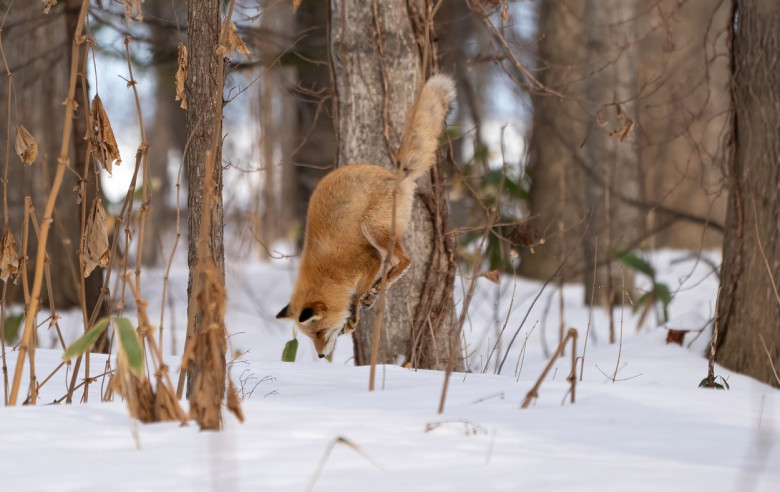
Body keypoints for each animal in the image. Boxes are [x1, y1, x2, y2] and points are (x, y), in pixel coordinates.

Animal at [276, 73, 454, 358]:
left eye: (318, 332)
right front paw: (354, 313)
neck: (328, 272)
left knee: (405, 260)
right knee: (395, 263)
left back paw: (379, 287)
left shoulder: (368, 260)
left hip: (372, 228)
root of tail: (395, 175)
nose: (320, 355)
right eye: (310, 337)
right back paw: (378, 288)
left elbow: (357, 296)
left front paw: (355, 314)